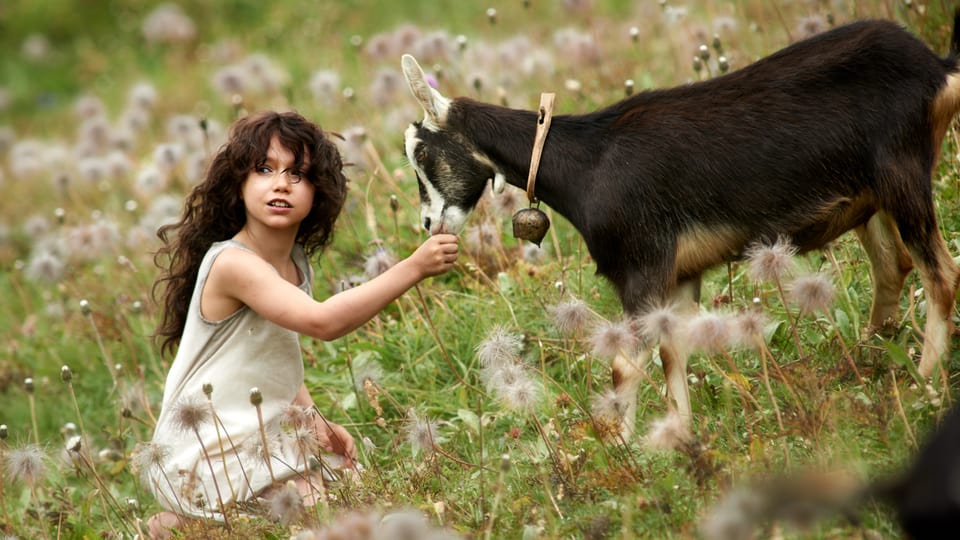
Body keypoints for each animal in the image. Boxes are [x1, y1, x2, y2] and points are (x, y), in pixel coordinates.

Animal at [400, 13, 960, 434]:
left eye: (422, 151)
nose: (429, 223)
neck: (588, 163)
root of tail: (935, 67)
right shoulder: (680, 275)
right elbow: (674, 357)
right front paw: (678, 443)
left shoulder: (642, 267)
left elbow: (625, 364)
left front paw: (624, 455)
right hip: (873, 200)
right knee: (893, 269)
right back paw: (870, 368)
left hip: (903, 177)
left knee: (941, 275)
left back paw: (923, 388)